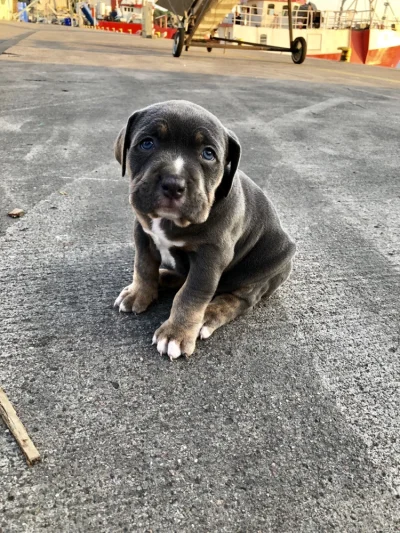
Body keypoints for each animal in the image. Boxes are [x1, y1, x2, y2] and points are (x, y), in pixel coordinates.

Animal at [114, 101, 296, 358]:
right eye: (147, 143)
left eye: (208, 154)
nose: (173, 184)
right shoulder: (143, 233)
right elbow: (143, 266)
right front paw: (139, 293)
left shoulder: (211, 255)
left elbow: (192, 294)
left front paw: (176, 334)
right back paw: (164, 278)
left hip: (264, 268)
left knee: (238, 299)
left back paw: (208, 316)